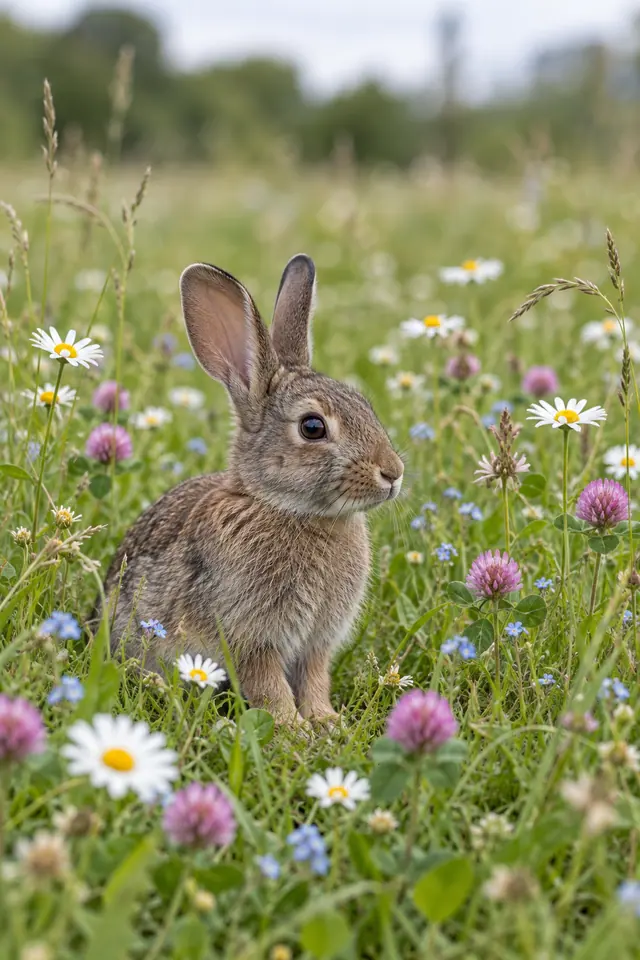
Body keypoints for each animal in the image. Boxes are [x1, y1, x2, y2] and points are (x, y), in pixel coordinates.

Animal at [101, 254, 404, 723]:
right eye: (312, 427)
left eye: (365, 407)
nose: (393, 473)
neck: (286, 507)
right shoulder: (251, 637)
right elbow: (268, 686)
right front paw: (293, 728)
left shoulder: (315, 644)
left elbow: (315, 681)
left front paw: (325, 721)